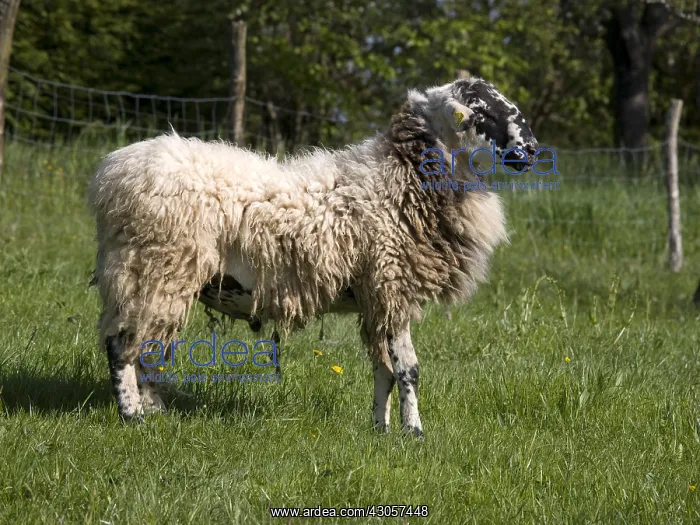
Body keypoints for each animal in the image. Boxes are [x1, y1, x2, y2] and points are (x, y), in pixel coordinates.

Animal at [88, 77, 538, 436]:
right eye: (482, 111)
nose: (533, 149)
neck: (401, 179)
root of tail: (111, 173)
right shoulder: (392, 286)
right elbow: (408, 369)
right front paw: (414, 433)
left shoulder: (376, 300)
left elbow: (383, 369)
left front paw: (381, 429)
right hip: (152, 265)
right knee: (121, 344)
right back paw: (132, 416)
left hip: (153, 274)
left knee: (146, 344)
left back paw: (153, 410)